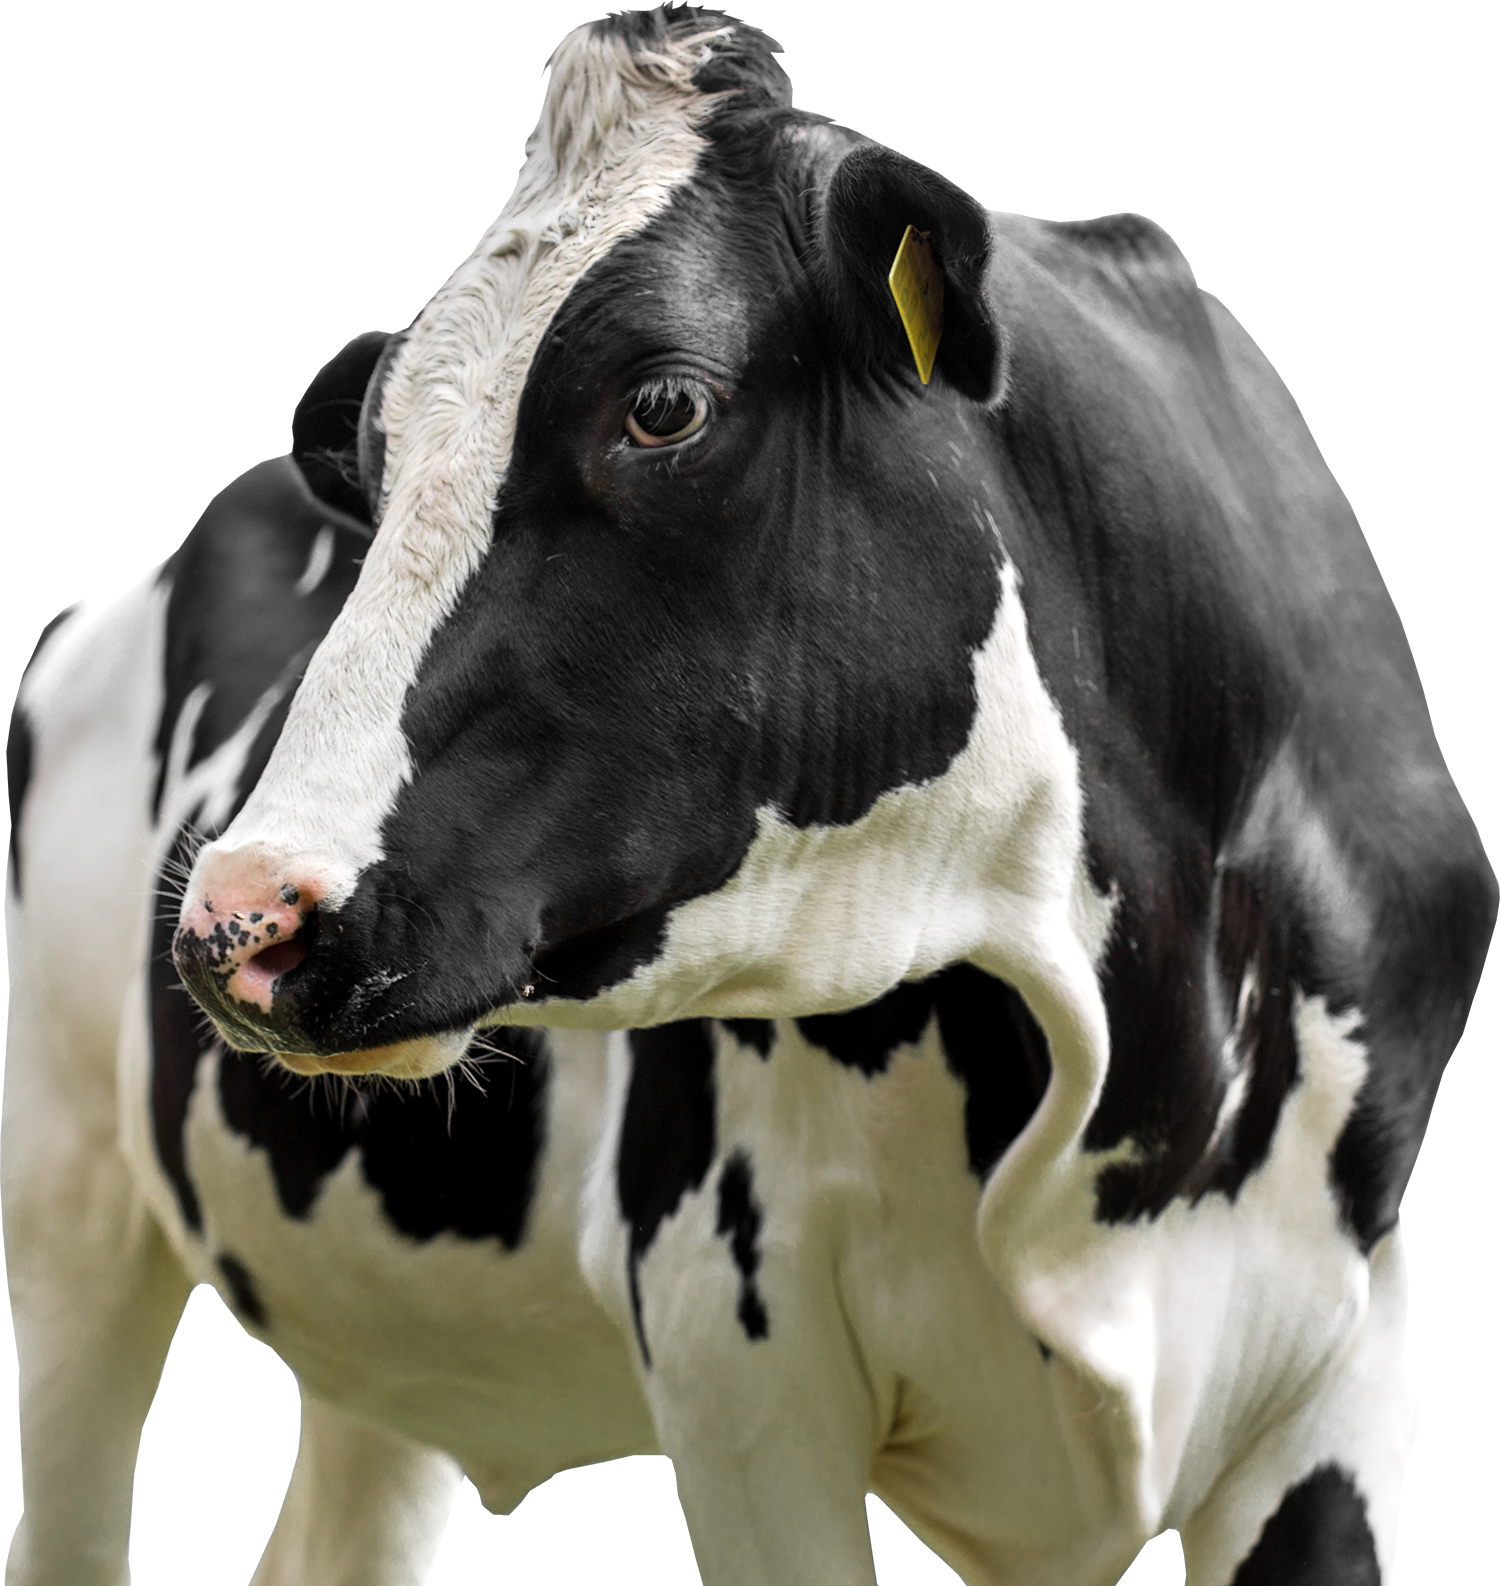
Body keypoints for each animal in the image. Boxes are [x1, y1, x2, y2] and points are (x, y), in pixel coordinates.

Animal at [9, 4, 1494, 1585]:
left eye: (665, 403)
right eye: (377, 450)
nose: (244, 917)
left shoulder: (1343, 1353)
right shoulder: (735, 1344)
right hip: (66, 1204)